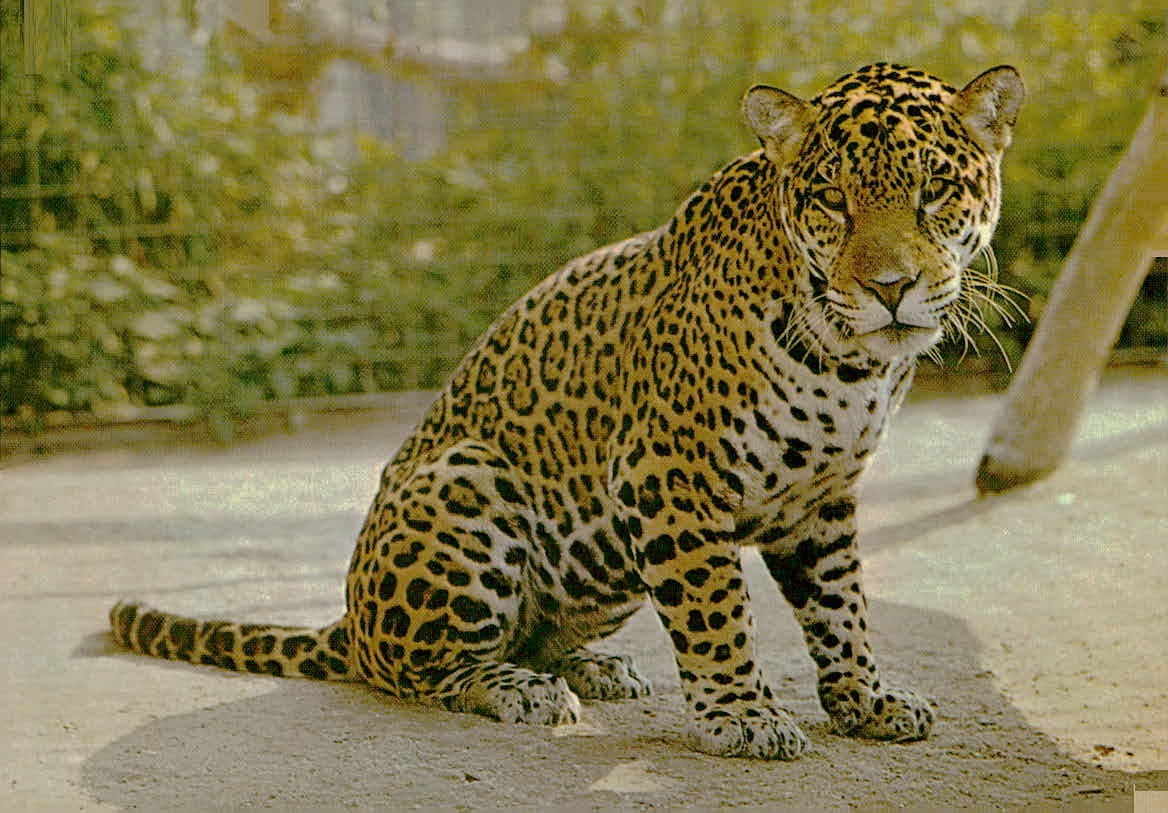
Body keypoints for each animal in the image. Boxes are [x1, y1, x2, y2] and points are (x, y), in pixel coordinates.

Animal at [110, 62, 1024, 760]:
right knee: (414, 670)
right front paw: (743, 716)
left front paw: (868, 699)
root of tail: (349, 618)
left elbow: (843, 607)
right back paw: (524, 690)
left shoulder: (822, 499)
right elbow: (718, 613)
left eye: (936, 190)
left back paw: (593, 668)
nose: (890, 288)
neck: (850, 361)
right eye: (832, 199)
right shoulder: (669, 480)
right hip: (470, 483)